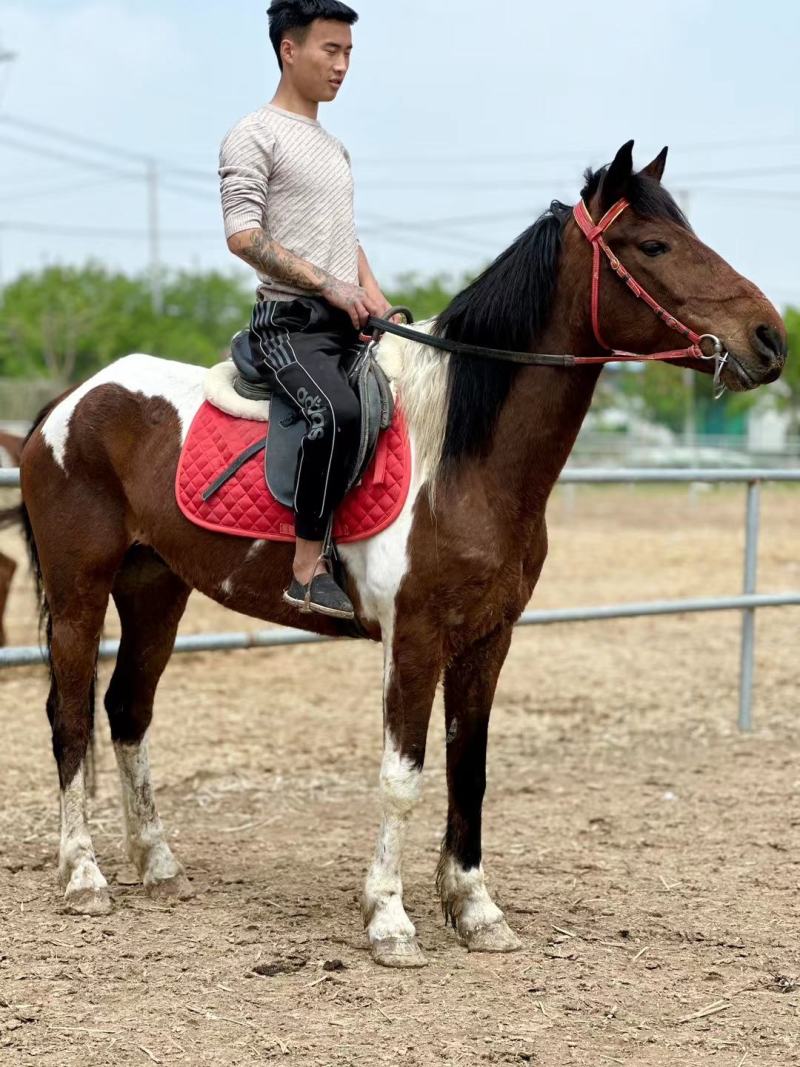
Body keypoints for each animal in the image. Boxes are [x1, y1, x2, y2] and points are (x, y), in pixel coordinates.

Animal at [12, 142, 786, 967]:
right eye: (654, 245)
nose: (770, 337)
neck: (461, 457)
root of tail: (70, 402)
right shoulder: (413, 637)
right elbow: (403, 776)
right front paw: (389, 918)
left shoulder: (488, 638)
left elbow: (469, 770)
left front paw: (476, 909)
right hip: (81, 590)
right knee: (70, 716)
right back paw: (84, 874)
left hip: (156, 589)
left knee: (127, 711)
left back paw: (158, 864)